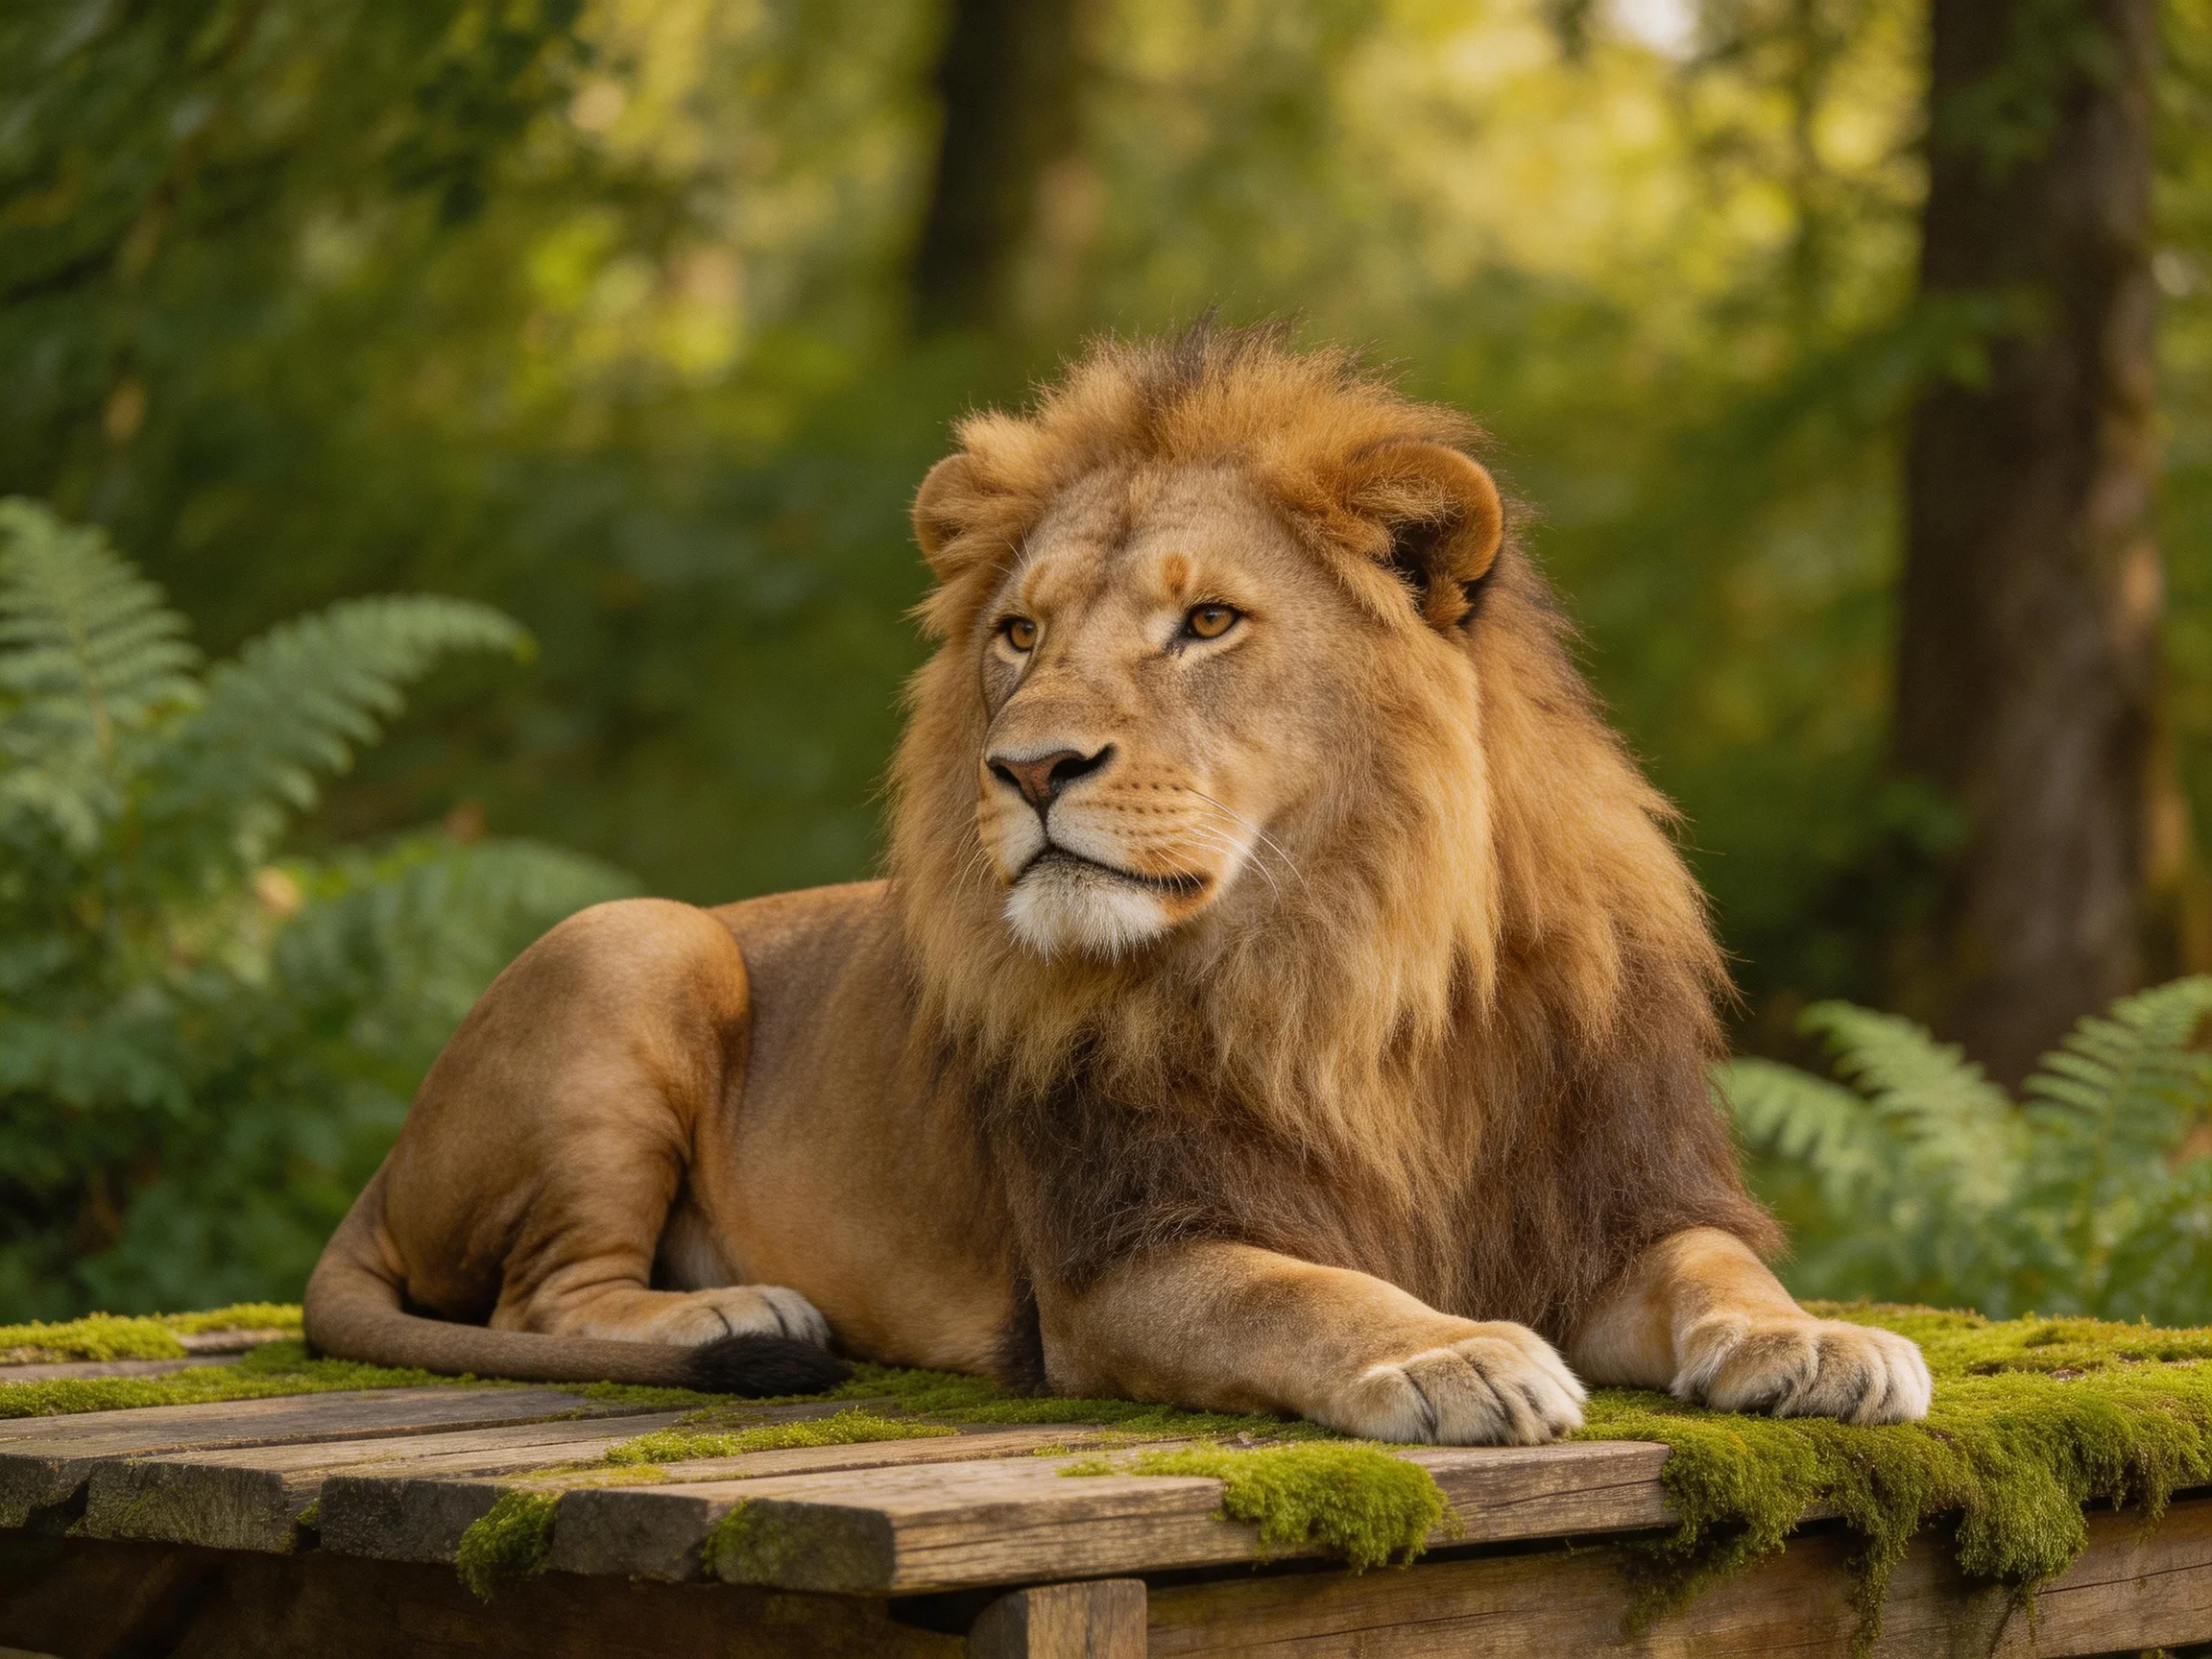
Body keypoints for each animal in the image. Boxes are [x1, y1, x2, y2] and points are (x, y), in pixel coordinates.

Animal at [305, 323, 1930, 1442]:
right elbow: (1304, 1290)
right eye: (1018, 635)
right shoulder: (1120, 1264)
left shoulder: (1618, 1204)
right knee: (545, 1297)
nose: (1028, 767)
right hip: (634, 940)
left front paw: (1822, 1342)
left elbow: (1723, 1267)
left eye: (1208, 622)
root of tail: (380, 1175)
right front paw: (1446, 1350)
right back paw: (733, 1306)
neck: (1347, 965)